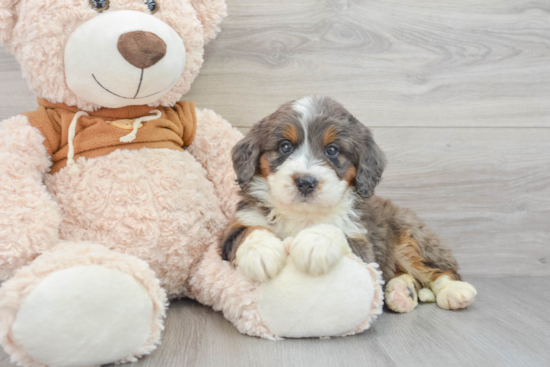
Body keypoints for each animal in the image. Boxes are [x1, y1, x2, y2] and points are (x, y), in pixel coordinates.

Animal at [222, 95, 476, 314]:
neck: (303, 214)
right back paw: (402, 292)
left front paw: (315, 243)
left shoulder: (363, 246)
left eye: (332, 150)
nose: (306, 182)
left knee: (440, 269)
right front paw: (260, 252)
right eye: (285, 147)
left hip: (410, 235)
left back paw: (453, 290)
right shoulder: (236, 227)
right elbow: (249, 231)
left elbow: (335, 231)